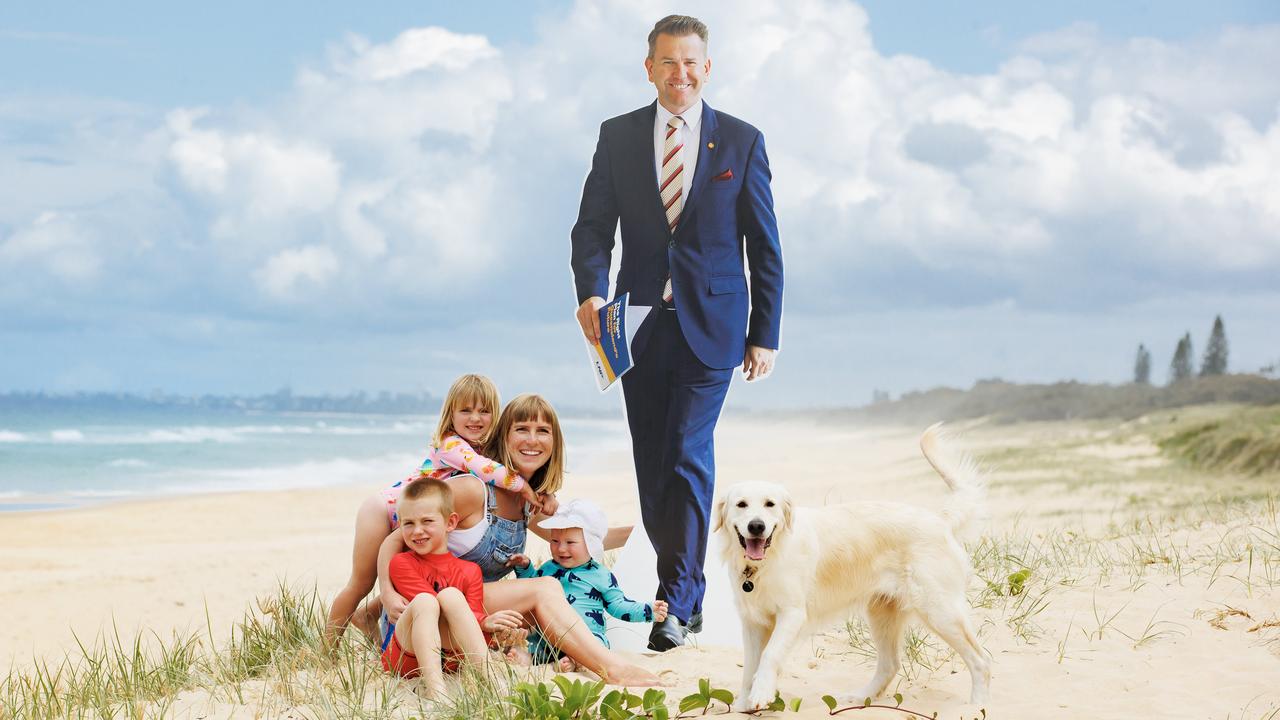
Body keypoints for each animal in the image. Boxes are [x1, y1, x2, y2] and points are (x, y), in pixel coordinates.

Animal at [716, 420, 993, 707]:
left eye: (769, 504)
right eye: (741, 504)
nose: (756, 526)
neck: (767, 561)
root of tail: (940, 520)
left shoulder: (792, 613)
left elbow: (769, 655)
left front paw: (761, 693)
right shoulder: (752, 621)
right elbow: (749, 666)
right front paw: (743, 704)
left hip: (939, 610)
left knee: (982, 660)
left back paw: (977, 706)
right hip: (882, 614)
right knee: (890, 664)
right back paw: (860, 697)